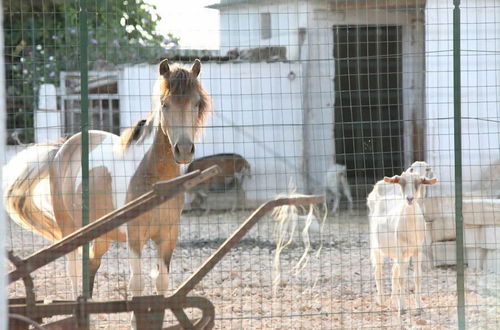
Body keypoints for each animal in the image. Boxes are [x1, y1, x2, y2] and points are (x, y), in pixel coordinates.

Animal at [3, 59, 211, 300]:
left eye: (196, 103)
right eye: (165, 104)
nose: (184, 150)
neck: (156, 179)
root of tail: (60, 150)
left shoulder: (168, 236)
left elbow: (162, 282)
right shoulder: (134, 236)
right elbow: (137, 284)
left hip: (100, 235)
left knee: (91, 265)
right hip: (70, 230)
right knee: (75, 271)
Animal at [372, 171, 438, 314]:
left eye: (419, 182)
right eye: (401, 182)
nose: (410, 199)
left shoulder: (417, 250)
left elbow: (417, 277)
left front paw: (419, 305)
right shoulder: (400, 249)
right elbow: (402, 278)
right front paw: (402, 308)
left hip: (402, 255)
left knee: (394, 273)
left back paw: (393, 301)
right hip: (377, 247)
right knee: (378, 271)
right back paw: (381, 301)